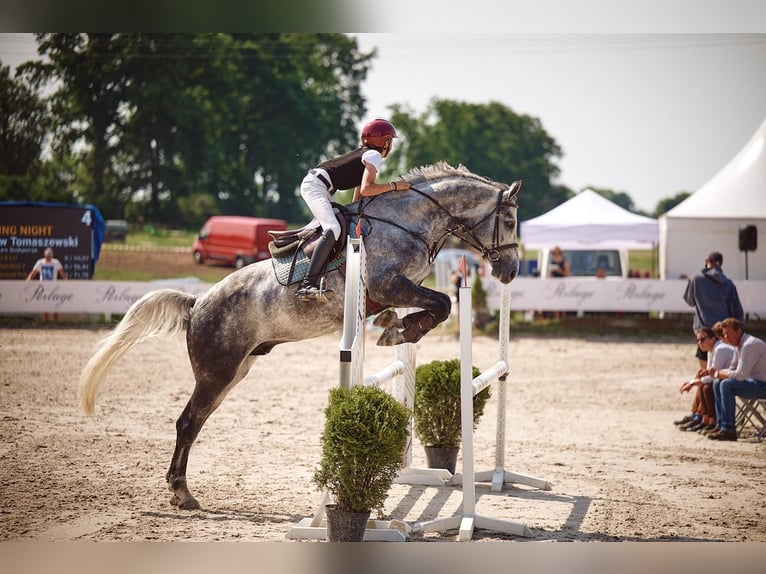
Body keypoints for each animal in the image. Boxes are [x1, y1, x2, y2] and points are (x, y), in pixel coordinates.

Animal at [79, 162, 520, 512]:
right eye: (511, 221)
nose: (511, 271)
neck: (408, 221)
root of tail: (197, 302)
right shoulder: (389, 284)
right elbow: (442, 303)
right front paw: (399, 331)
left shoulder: (396, 290)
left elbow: (435, 305)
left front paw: (394, 327)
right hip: (216, 374)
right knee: (187, 422)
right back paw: (182, 493)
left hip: (235, 371)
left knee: (196, 421)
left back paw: (181, 491)